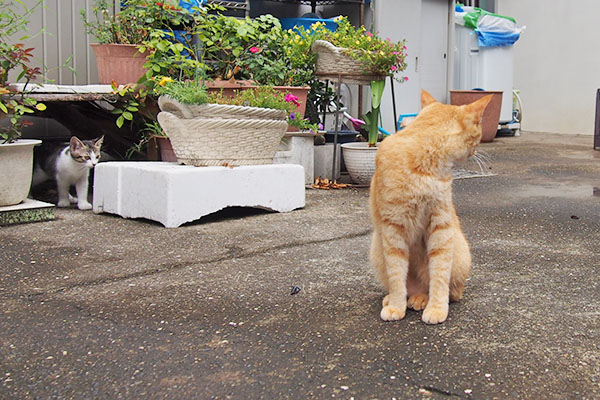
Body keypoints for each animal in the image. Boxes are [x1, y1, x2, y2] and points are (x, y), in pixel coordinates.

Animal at [370, 89, 492, 324]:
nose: (477, 151)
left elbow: (439, 275)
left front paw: (436, 307)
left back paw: (421, 298)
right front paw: (396, 305)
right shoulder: (392, 229)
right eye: (479, 133)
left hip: (458, 246)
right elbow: (396, 275)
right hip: (377, 248)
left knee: (452, 291)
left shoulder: (441, 227)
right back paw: (396, 299)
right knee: (403, 286)